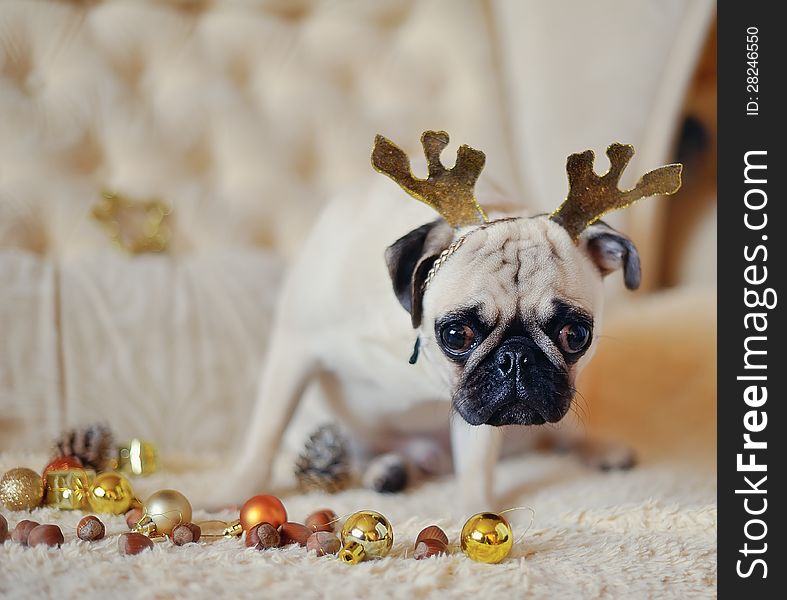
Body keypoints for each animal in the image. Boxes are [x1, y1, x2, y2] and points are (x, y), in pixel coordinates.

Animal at [225, 131, 680, 510]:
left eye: (575, 334)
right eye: (457, 334)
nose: (516, 358)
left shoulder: (484, 414)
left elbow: (477, 464)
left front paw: (475, 514)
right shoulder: (294, 349)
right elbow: (264, 433)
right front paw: (234, 493)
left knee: (562, 434)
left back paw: (601, 450)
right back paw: (384, 470)